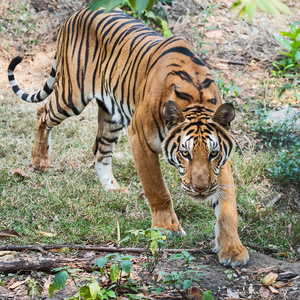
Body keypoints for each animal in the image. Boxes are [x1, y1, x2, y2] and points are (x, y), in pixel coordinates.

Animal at [8, 5, 250, 266]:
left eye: (213, 154)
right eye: (184, 154)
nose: (201, 189)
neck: (195, 100)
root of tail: (78, 12)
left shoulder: (221, 161)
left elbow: (227, 206)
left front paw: (233, 249)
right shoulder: (139, 138)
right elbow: (157, 189)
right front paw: (167, 228)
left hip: (110, 116)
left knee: (100, 151)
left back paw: (112, 189)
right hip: (71, 96)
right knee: (42, 112)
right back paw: (40, 162)